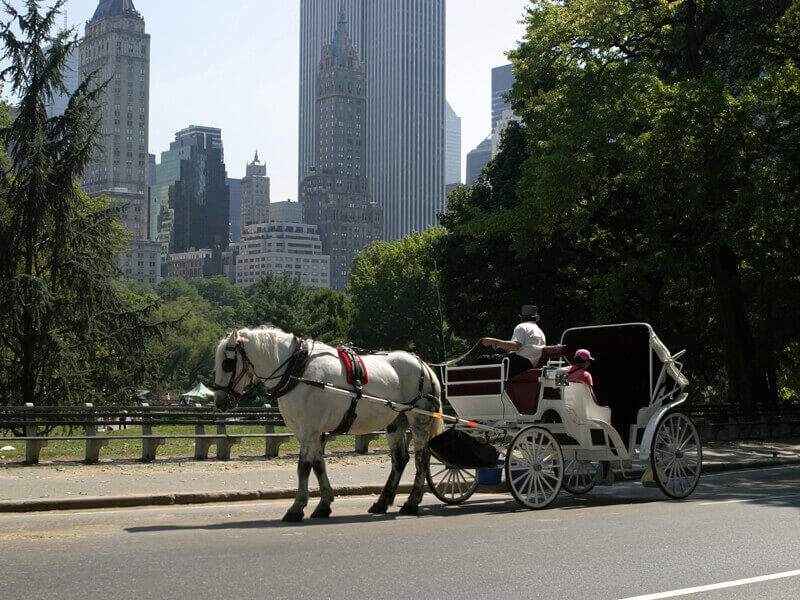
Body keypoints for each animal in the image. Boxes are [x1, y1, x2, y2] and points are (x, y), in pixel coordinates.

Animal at [212, 326, 444, 524]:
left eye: (227, 364)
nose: (220, 402)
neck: (297, 370)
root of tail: (424, 366)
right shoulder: (308, 432)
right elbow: (318, 465)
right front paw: (324, 504)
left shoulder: (309, 430)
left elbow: (303, 467)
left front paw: (297, 508)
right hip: (396, 422)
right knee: (400, 459)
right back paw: (382, 502)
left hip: (418, 420)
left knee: (422, 457)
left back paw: (412, 502)